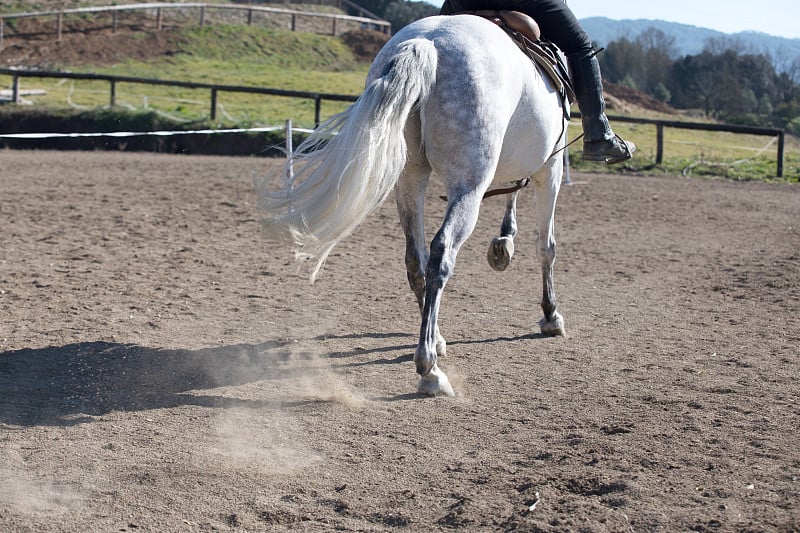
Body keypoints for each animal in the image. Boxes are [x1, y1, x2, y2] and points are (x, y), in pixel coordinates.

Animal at [260, 13, 564, 394]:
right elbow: (546, 247)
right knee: (441, 253)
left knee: (414, 260)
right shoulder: (551, 170)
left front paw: (504, 242)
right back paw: (429, 367)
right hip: (468, 187)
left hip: (409, 178)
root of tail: (429, 41)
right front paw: (551, 315)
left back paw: (435, 341)